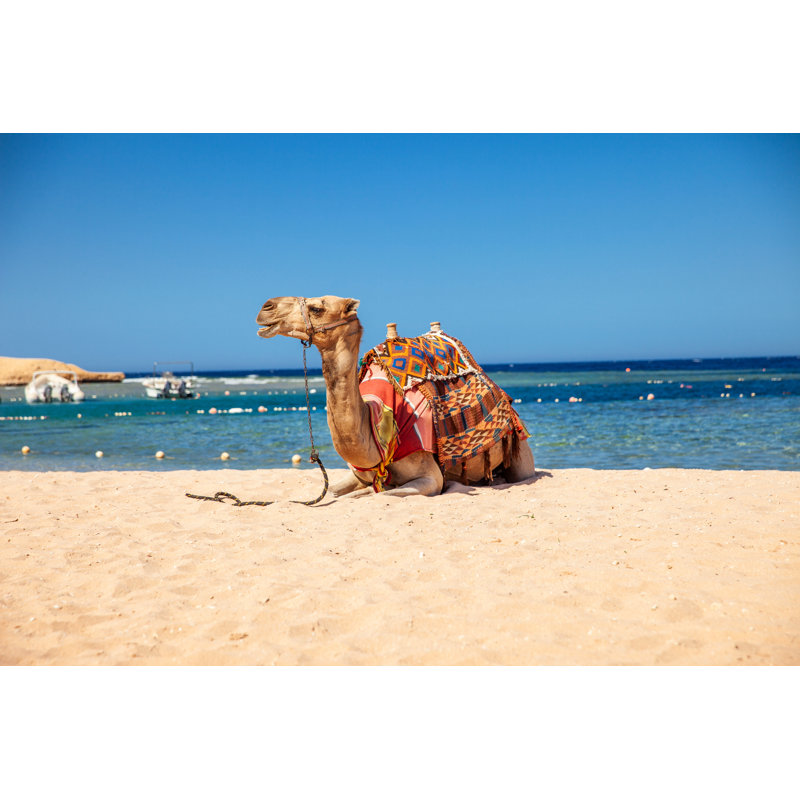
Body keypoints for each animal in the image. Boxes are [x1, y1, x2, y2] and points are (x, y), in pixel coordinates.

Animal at [255, 295, 535, 498]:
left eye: (316, 308)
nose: (266, 307)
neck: (377, 422)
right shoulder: (358, 474)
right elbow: (335, 491)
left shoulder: (431, 477)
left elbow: (381, 495)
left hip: (520, 453)